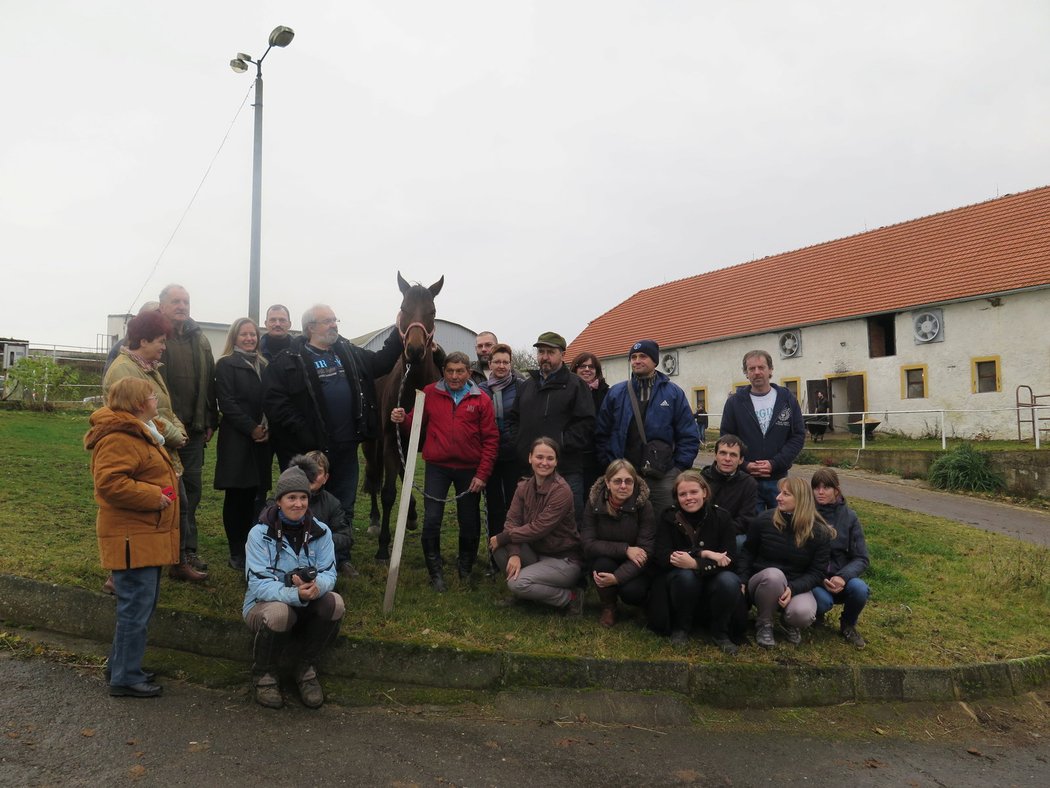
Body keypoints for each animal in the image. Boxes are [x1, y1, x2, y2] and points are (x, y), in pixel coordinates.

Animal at [363, 271, 445, 563]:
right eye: (403, 308)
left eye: (432, 311)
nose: (415, 350)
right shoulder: (389, 439)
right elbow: (388, 493)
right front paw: (382, 548)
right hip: (372, 444)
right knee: (374, 477)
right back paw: (376, 520)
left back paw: (410, 515)